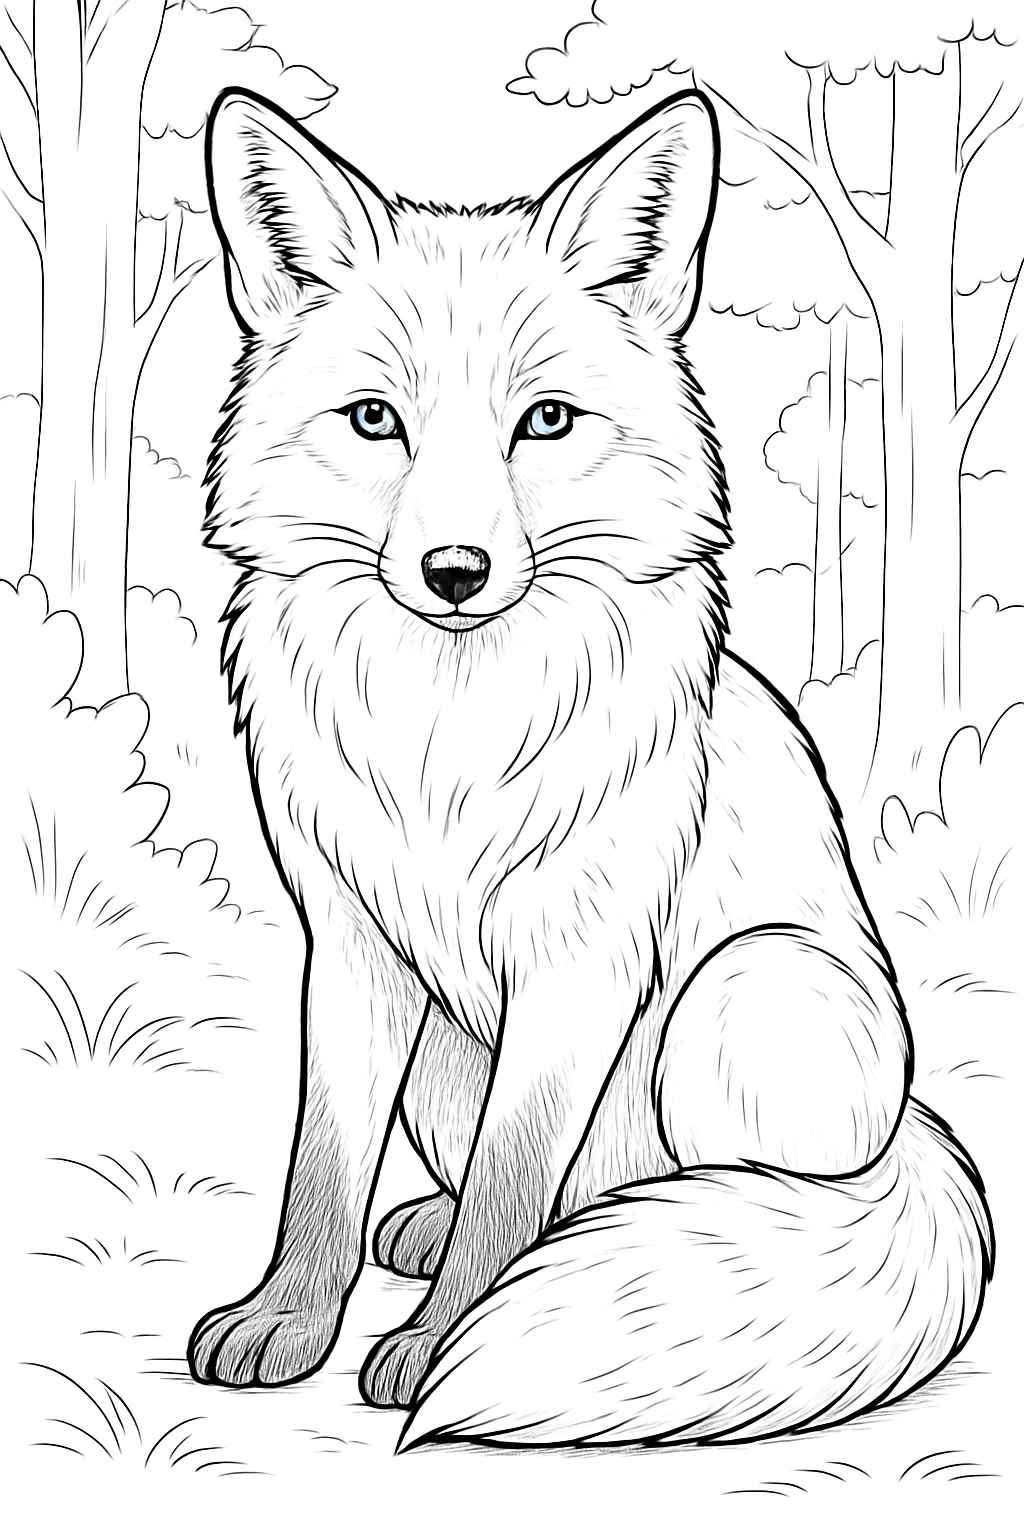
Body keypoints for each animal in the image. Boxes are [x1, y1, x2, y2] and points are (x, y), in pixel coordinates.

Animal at [188, 83, 994, 1449]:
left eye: (545, 421)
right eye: (376, 420)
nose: (455, 574)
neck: (447, 740)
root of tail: (916, 1132)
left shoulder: (582, 960)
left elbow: (513, 1183)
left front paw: (441, 1345)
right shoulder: (349, 945)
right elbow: (323, 1168)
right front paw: (288, 1320)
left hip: (741, 996)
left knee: (696, 1203)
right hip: (452, 1054)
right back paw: (443, 1231)